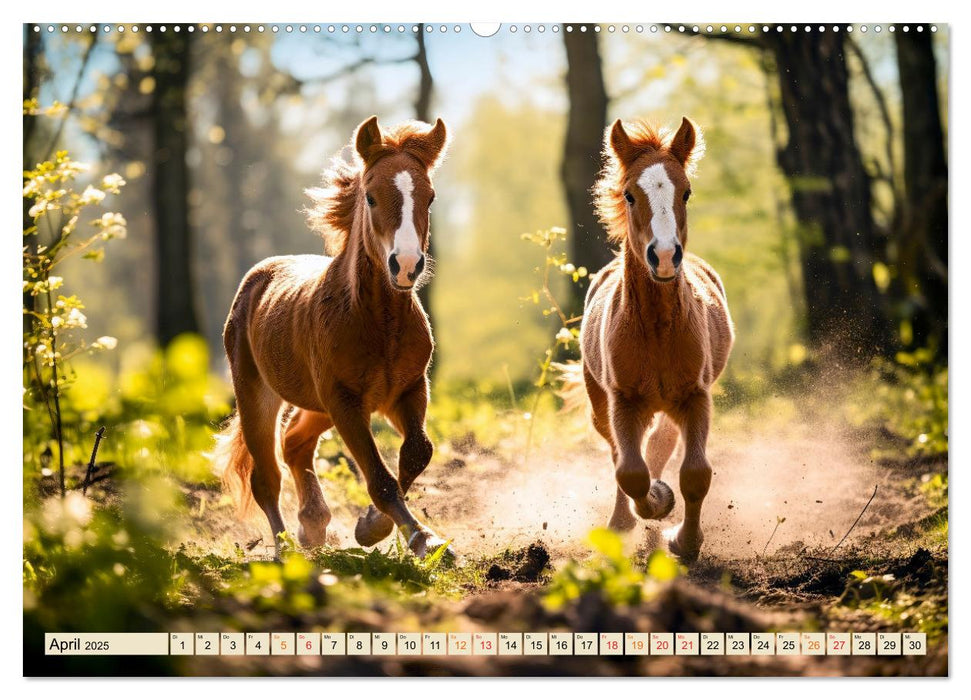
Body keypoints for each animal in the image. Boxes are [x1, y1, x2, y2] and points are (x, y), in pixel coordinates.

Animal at [216, 117, 452, 560]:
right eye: (371, 197)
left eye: (429, 198)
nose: (406, 265)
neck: (380, 324)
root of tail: (257, 277)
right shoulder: (345, 400)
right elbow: (379, 476)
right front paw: (422, 539)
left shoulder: (408, 390)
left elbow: (417, 452)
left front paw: (372, 526)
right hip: (259, 394)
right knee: (266, 478)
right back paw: (287, 550)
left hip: (317, 404)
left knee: (294, 443)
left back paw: (313, 526)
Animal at [580, 117, 732, 560]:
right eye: (630, 194)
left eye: (687, 191)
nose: (664, 256)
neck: (658, 328)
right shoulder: (624, 401)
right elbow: (631, 472)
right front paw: (657, 503)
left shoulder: (695, 397)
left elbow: (696, 473)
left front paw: (685, 541)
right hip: (601, 402)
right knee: (621, 453)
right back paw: (625, 521)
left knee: (661, 445)